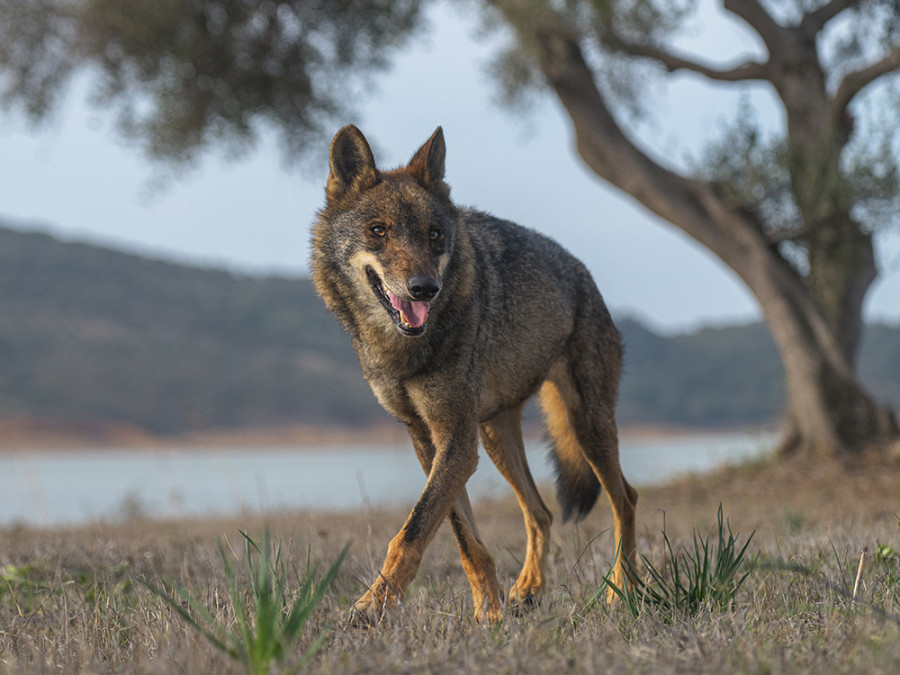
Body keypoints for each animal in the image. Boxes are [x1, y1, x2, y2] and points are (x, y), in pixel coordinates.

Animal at [312, 127, 636, 624]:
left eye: (435, 235)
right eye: (378, 231)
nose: (424, 289)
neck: (404, 351)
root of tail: (580, 270)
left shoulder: (456, 441)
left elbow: (410, 534)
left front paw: (370, 607)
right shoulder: (429, 439)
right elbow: (465, 539)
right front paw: (489, 613)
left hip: (587, 429)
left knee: (626, 502)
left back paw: (623, 593)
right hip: (497, 435)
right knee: (541, 513)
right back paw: (527, 591)